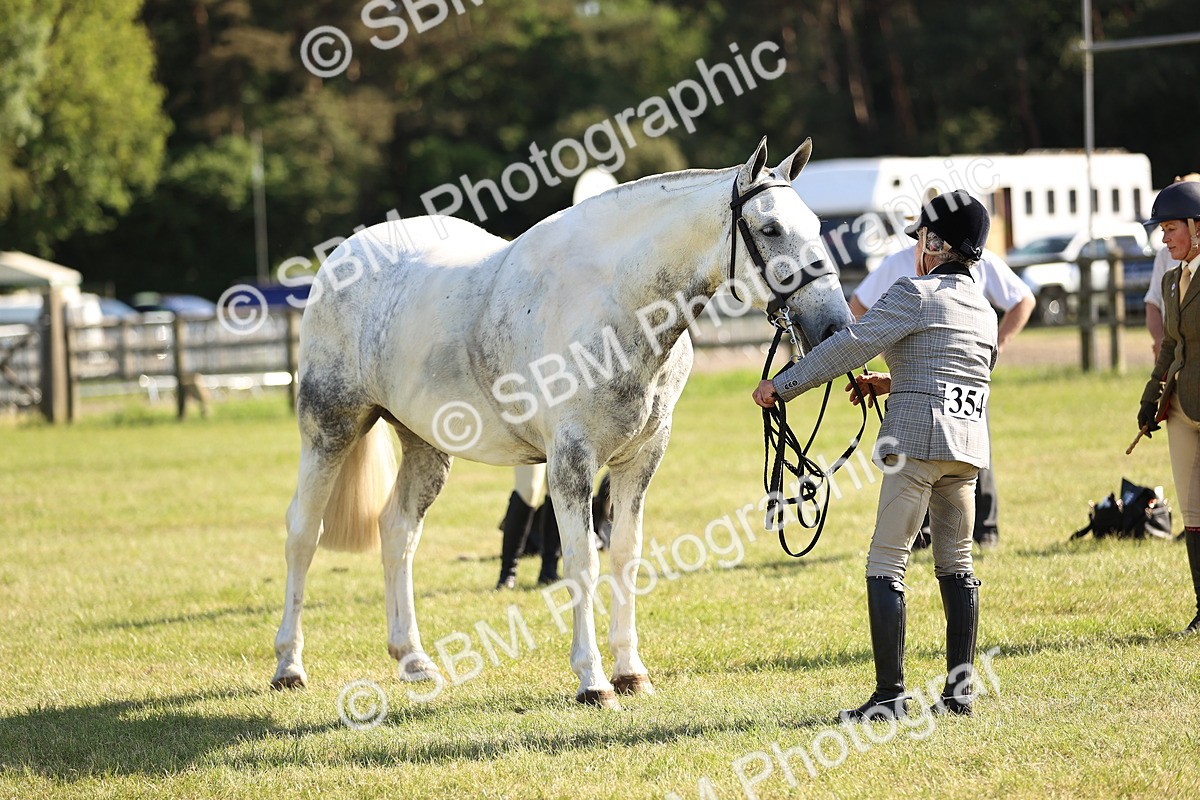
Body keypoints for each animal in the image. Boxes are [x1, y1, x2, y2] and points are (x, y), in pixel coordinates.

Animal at [270, 137, 854, 707]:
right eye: (771, 228)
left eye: (816, 224)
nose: (834, 326)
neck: (619, 306)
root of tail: (345, 256)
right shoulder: (571, 459)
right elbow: (582, 563)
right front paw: (592, 680)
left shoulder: (641, 458)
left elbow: (625, 556)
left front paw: (630, 672)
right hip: (329, 430)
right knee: (303, 531)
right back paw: (289, 667)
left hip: (424, 445)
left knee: (397, 531)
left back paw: (414, 662)